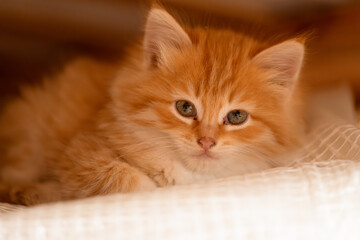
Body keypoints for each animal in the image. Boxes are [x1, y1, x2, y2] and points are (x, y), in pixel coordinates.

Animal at [0, 8, 306, 205]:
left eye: (237, 116)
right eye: (185, 108)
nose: (206, 142)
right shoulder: (80, 150)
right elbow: (128, 180)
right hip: (31, 133)